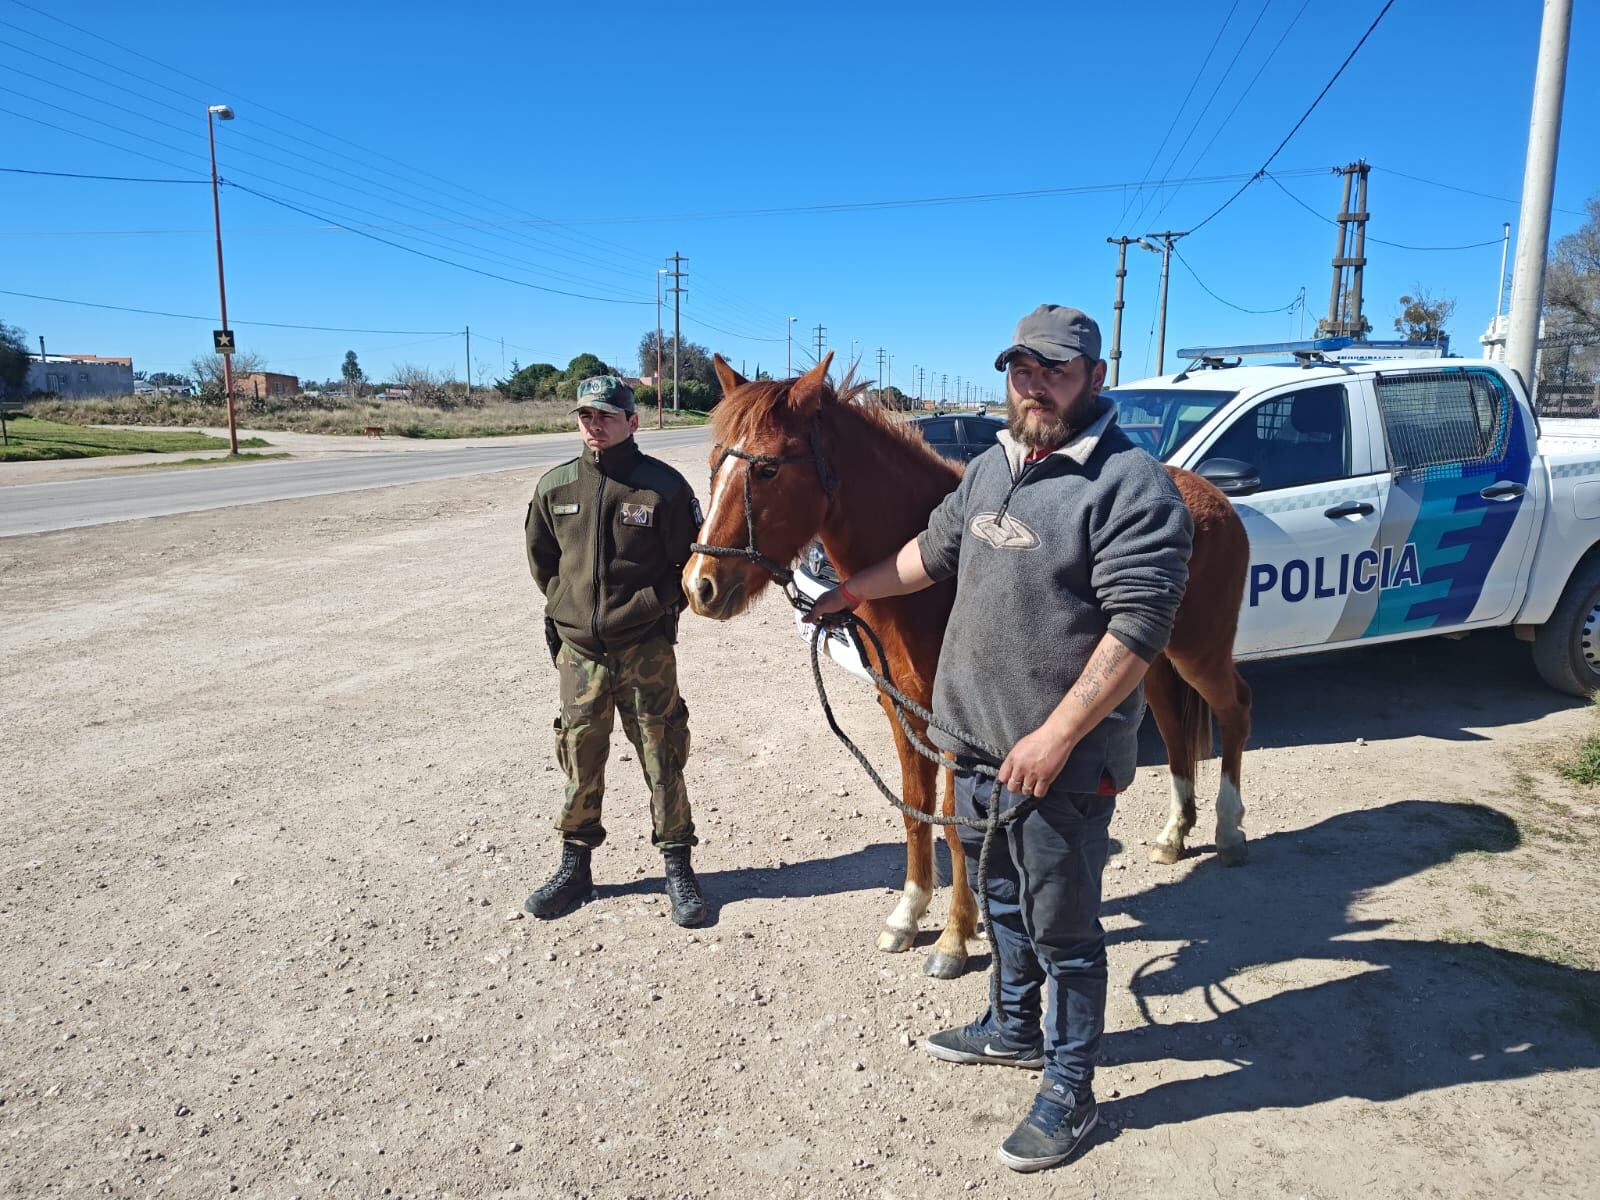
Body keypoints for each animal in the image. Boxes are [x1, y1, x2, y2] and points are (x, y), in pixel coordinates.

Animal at [681, 352, 1254, 979]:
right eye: (714, 464)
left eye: (766, 471)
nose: (700, 586)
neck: (924, 586)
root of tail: (1213, 497)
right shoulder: (902, 710)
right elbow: (916, 812)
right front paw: (908, 916)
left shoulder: (958, 728)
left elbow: (958, 827)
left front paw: (955, 936)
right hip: (1150, 667)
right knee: (1176, 732)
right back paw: (1175, 834)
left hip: (1198, 652)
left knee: (1235, 710)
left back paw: (1228, 830)